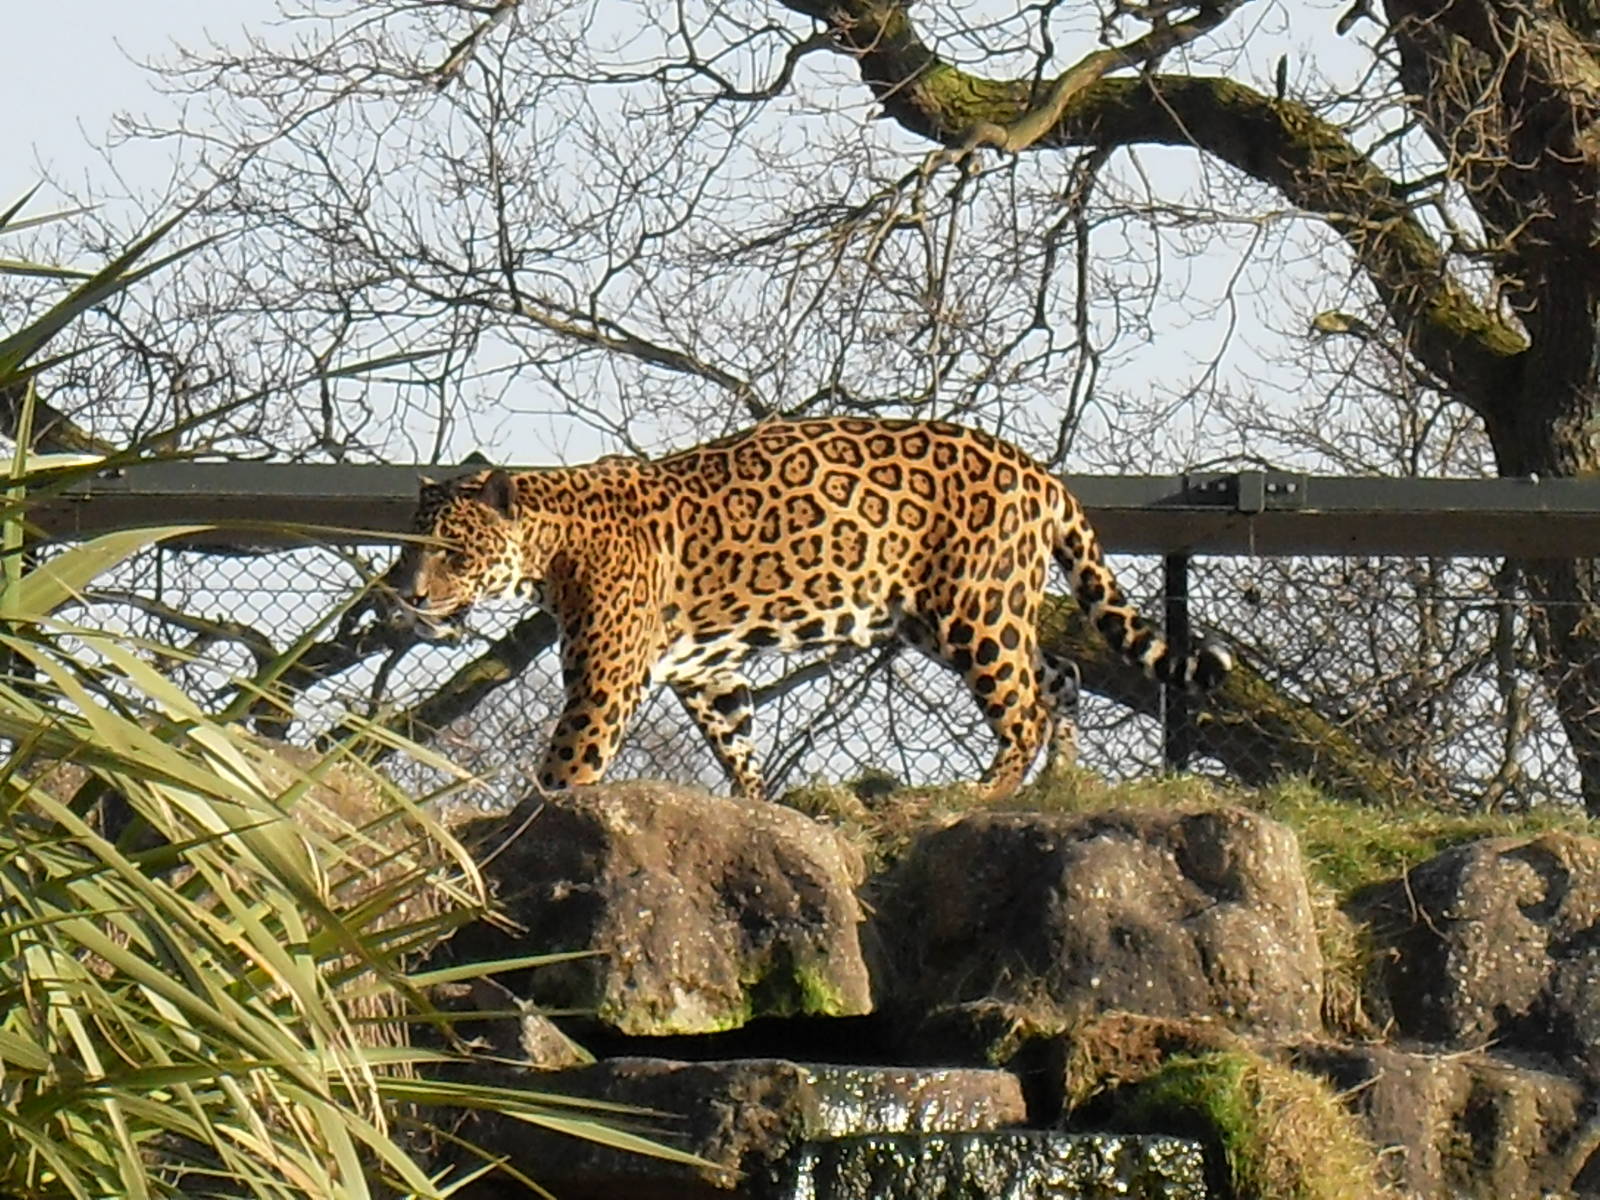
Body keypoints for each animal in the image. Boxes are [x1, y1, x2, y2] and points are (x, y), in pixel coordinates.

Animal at [386, 417, 1231, 803]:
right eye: (405, 546)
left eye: (452, 550)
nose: (409, 595)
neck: (552, 539)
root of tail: (1040, 471)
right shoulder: (707, 671)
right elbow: (739, 745)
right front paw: (758, 811)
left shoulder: (605, 680)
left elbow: (569, 764)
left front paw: (535, 818)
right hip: (953, 615)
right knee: (1056, 675)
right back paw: (1061, 782)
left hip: (973, 610)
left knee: (1021, 706)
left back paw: (981, 795)